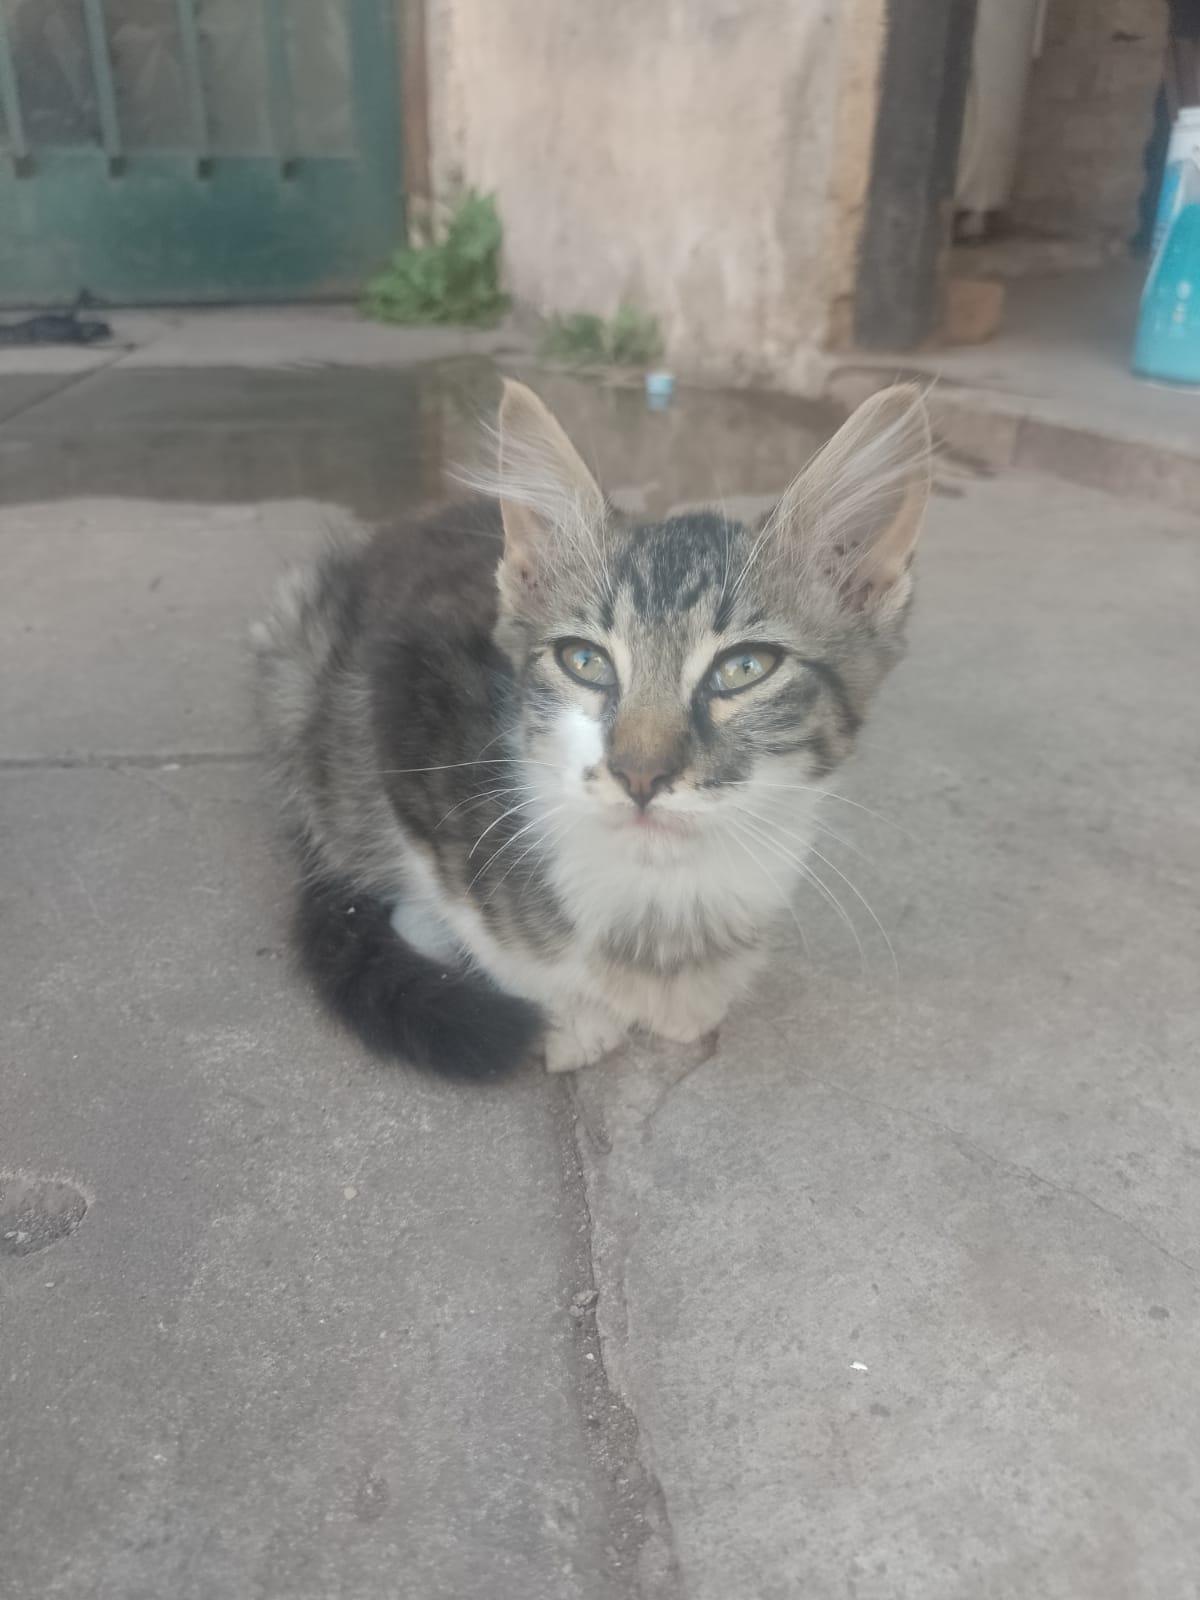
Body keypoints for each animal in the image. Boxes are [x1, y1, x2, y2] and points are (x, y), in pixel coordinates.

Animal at [253, 379, 931, 1077]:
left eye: (744, 669)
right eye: (585, 661)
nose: (640, 775)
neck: (662, 895)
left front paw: (691, 999)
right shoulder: (402, 707)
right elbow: (485, 924)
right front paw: (574, 1019)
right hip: (298, 662)